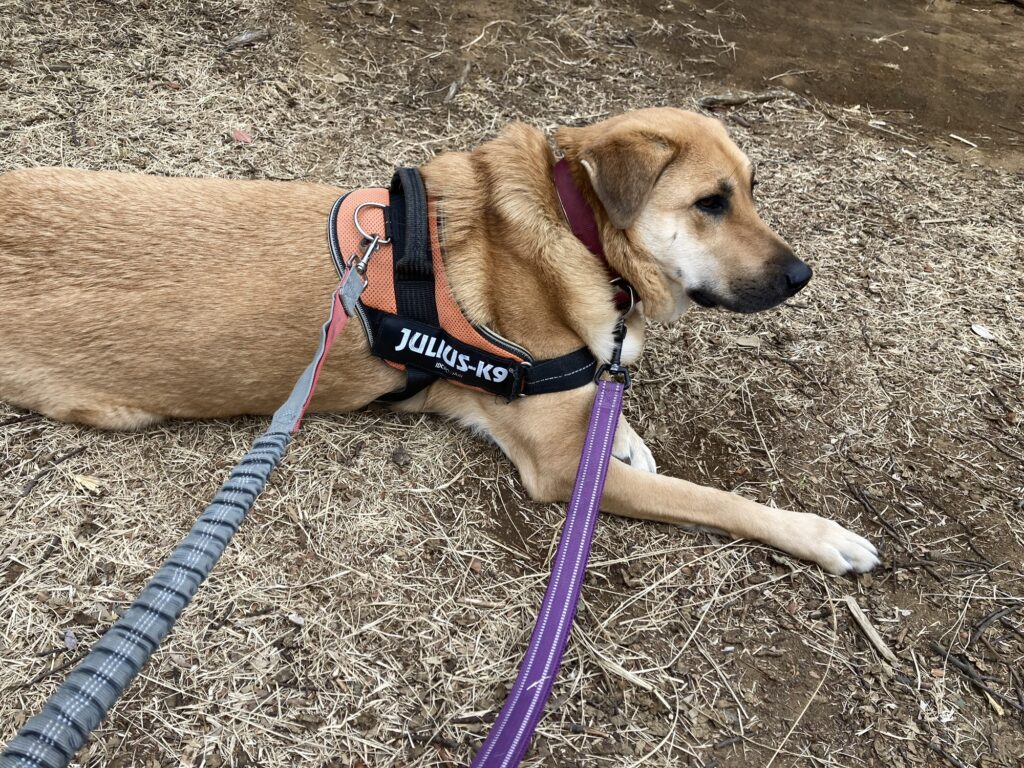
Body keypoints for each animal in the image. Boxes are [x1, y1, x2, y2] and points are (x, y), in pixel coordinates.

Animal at [0, 107, 878, 575]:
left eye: (752, 190)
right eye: (710, 202)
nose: (802, 275)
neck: (578, 235)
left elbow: (606, 402)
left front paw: (624, 432)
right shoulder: (560, 473)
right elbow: (715, 499)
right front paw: (823, 536)